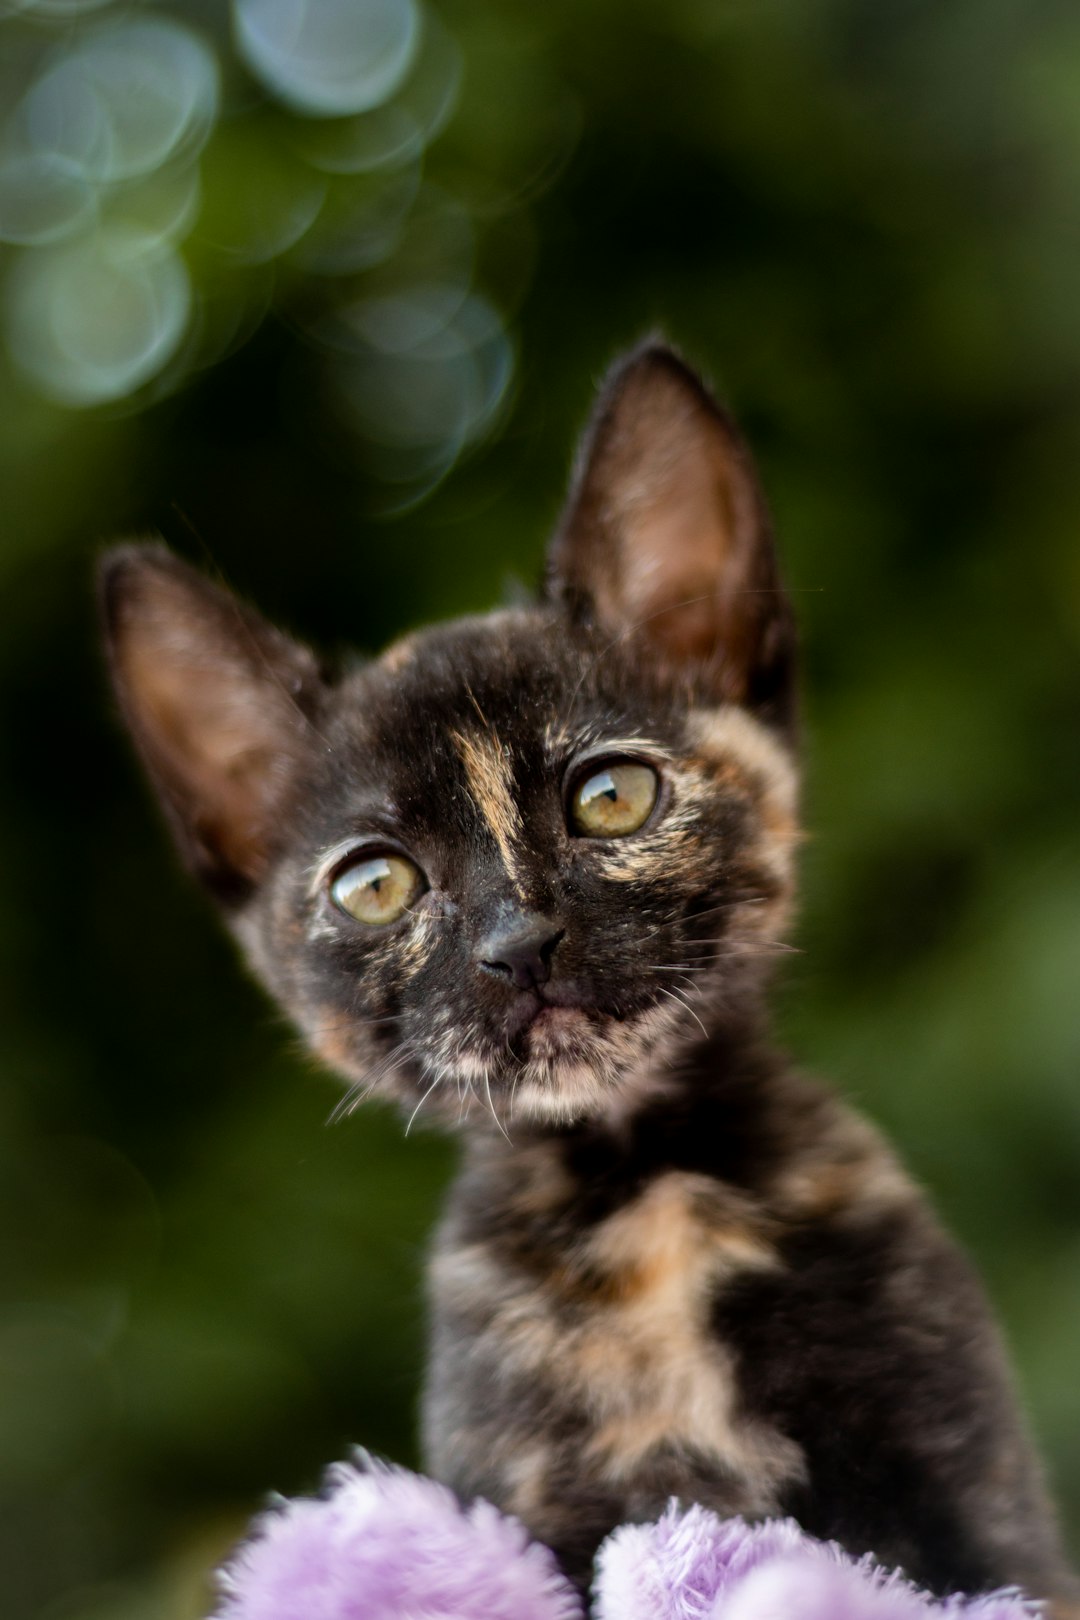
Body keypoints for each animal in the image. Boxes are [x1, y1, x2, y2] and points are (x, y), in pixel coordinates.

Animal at [103, 345, 1080, 1607]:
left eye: (612, 796)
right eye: (375, 884)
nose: (519, 943)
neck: (640, 1192)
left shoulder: (978, 1507)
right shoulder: (527, 1497)